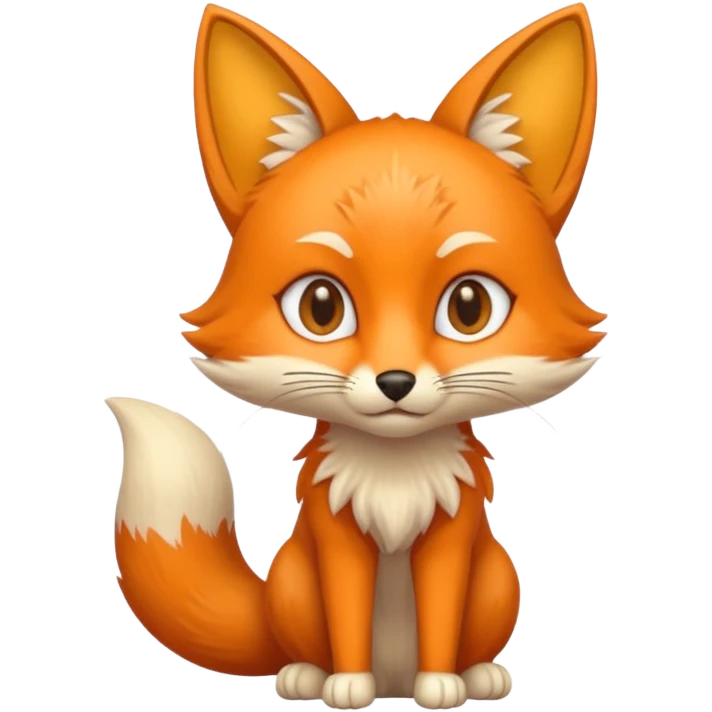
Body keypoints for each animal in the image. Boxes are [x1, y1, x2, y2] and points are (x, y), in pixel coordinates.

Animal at [108, 3, 601, 709]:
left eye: (470, 307)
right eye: (321, 307)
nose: (395, 381)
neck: (393, 475)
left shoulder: (450, 539)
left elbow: (440, 616)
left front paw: (440, 684)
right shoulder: (336, 539)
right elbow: (347, 616)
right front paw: (346, 683)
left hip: (499, 579)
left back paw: (478, 675)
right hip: (293, 581)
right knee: (303, 643)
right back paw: (307, 675)